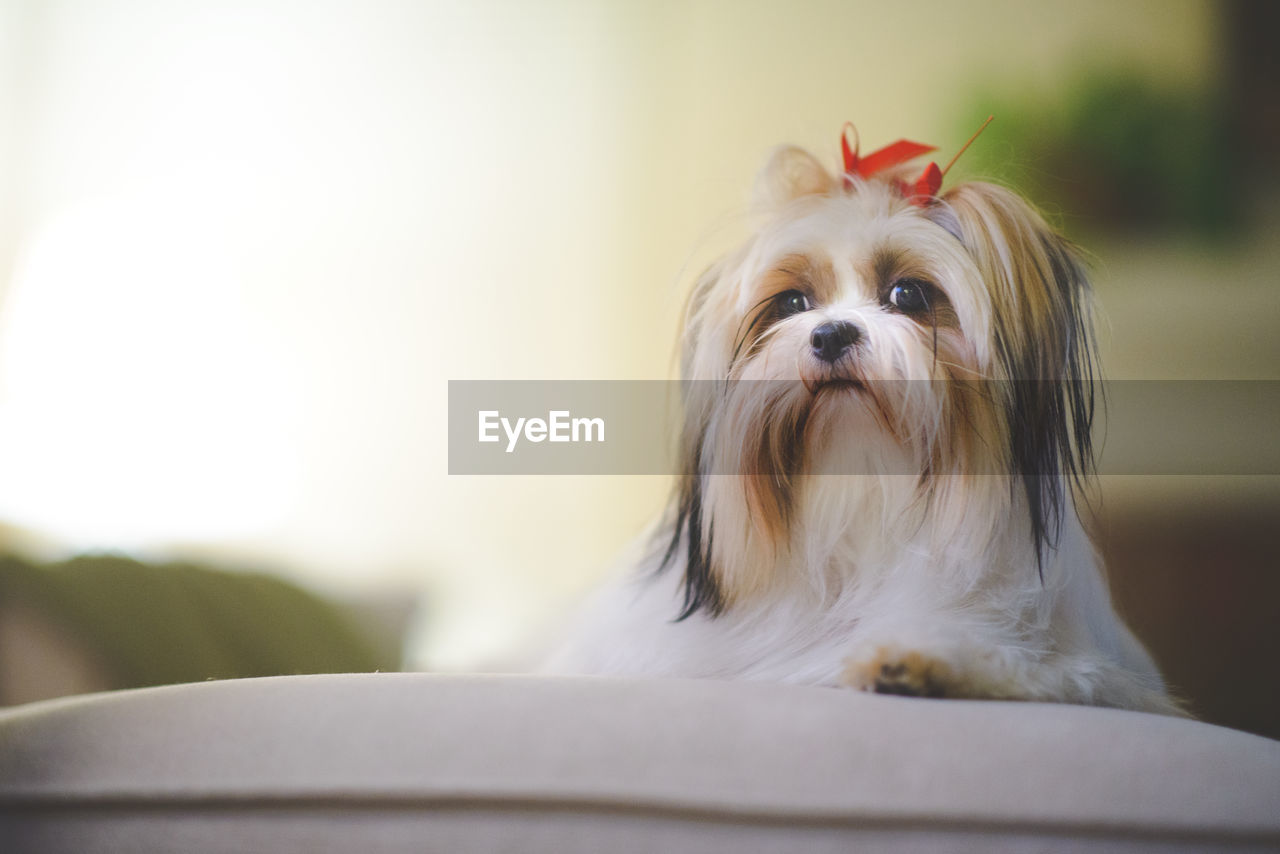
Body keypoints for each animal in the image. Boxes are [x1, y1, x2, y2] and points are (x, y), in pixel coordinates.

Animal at [540, 126, 1177, 717]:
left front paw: (919, 661)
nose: (830, 333)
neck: (862, 481)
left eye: (908, 293)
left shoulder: (1081, 666)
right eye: (792, 303)